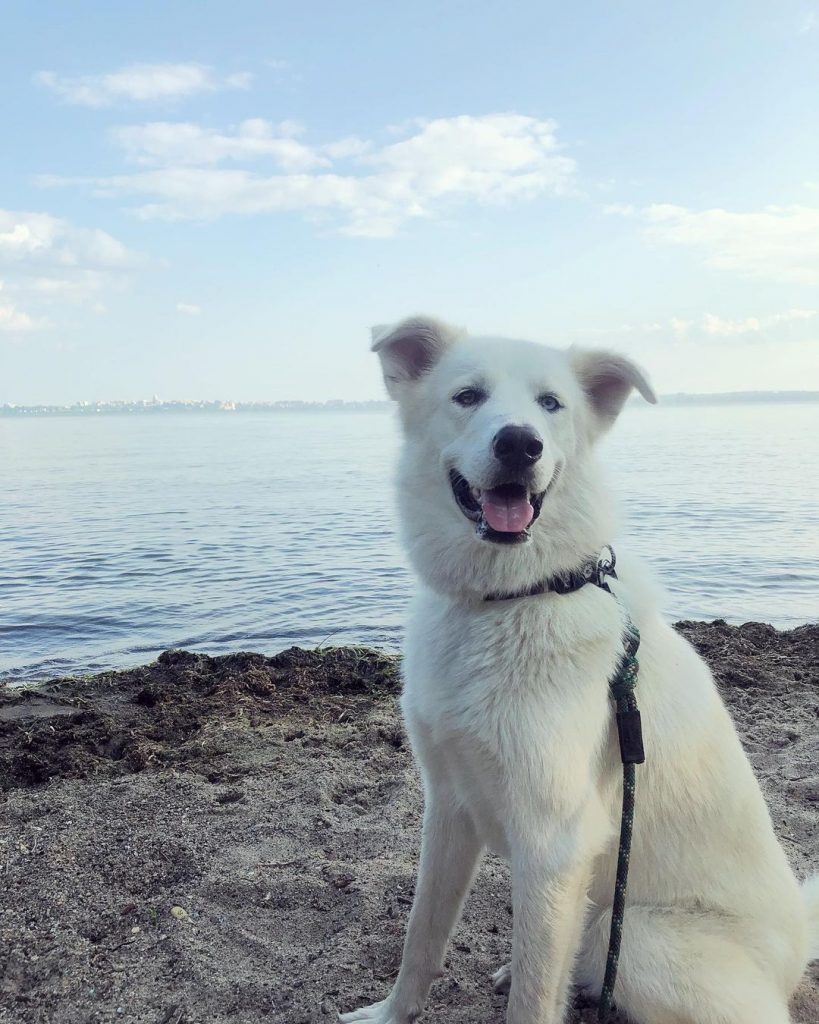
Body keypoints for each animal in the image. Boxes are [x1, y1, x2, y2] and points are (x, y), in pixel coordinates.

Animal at [339, 315, 818, 1019]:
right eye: (467, 396)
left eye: (551, 403)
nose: (520, 444)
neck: (516, 595)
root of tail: (797, 947)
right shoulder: (448, 809)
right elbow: (422, 937)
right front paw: (393, 1012)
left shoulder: (553, 844)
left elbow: (534, 1001)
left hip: (635, 936)